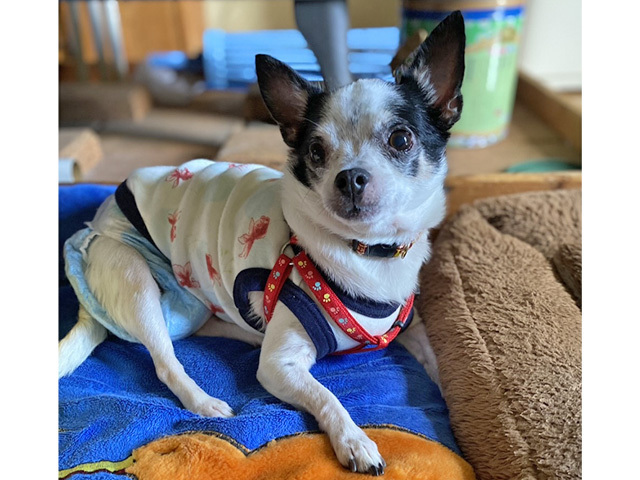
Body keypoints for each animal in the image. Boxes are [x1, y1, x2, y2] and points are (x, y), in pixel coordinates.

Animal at [59, 11, 465, 475]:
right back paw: (204, 401)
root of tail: (97, 220)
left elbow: (437, 364)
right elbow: (328, 396)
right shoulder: (279, 366)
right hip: (133, 274)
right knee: (165, 360)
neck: (369, 252)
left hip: (185, 304)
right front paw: (354, 440)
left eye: (401, 139)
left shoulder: (410, 329)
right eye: (316, 152)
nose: (349, 177)